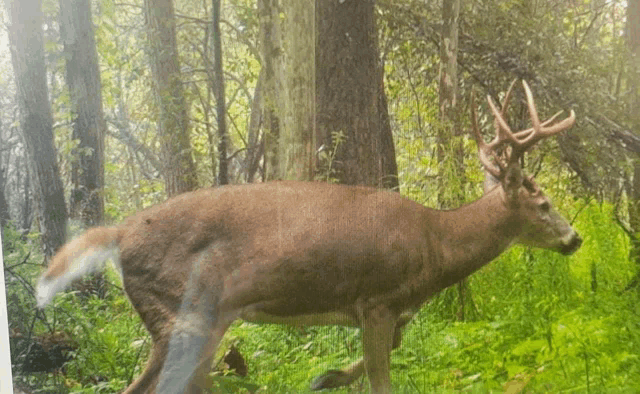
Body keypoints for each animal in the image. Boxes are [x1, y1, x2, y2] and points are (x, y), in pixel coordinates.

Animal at [37, 81, 584, 394]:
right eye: (543, 204)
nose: (575, 239)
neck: (435, 247)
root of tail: (121, 231)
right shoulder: (378, 299)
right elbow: (383, 380)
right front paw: (329, 377)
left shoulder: (391, 312)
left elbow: (375, 360)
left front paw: (325, 377)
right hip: (183, 311)